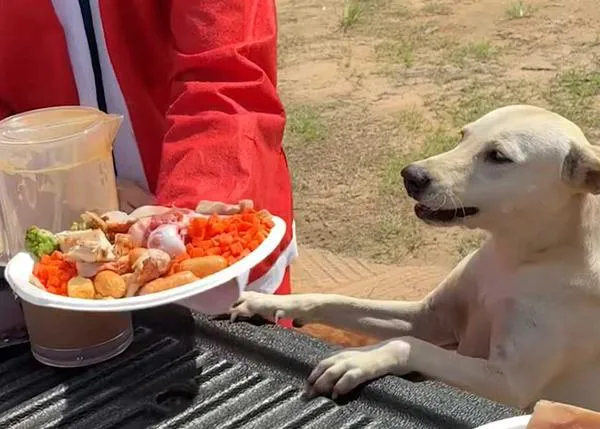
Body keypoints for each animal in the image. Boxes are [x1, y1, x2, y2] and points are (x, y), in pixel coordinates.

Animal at [231, 105, 600, 410]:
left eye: (498, 156)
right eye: (462, 135)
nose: (411, 175)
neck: (516, 257)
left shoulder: (507, 383)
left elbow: (408, 344)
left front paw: (359, 360)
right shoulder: (427, 317)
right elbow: (335, 300)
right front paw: (269, 302)